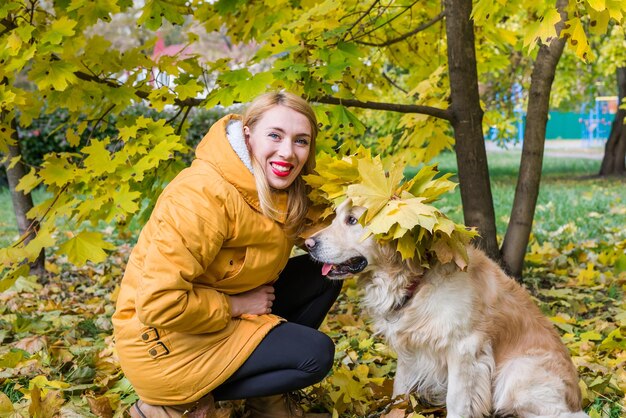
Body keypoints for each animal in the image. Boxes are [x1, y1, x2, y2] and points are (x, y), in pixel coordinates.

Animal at [304, 199, 588, 418]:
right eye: (336, 216)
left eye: (352, 220)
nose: (308, 244)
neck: (418, 279)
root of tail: (576, 395)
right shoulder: (410, 345)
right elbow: (399, 389)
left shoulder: (465, 349)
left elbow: (457, 400)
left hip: (515, 375)